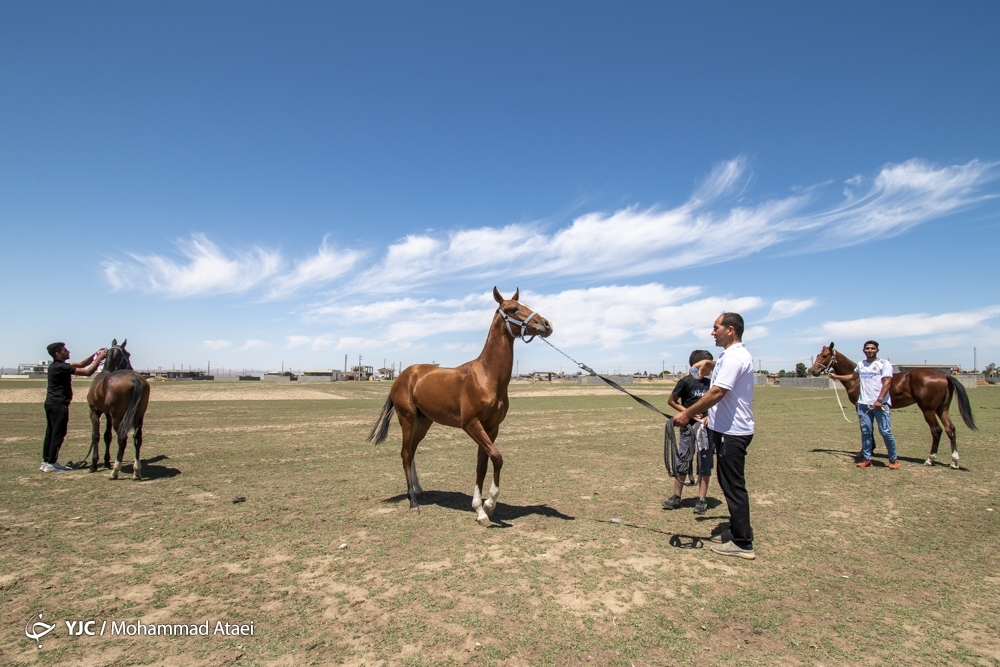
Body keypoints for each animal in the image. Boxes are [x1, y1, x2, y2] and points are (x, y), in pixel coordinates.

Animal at [85, 342, 150, 478]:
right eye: (128, 354)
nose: (131, 366)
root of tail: (134, 378)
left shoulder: (94, 412)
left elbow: (95, 435)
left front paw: (94, 464)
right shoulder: (108, 414)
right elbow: (107, 436)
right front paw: (105, 461)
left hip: (118, 417)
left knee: (122, 438)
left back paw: (115, 471)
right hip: (139, 415)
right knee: (137, 438)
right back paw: (136, 471)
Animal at [368, 290, 556, 524]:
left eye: (525, 305)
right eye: (514, 309)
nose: (546, 324)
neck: (486, 377)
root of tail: (404, 375)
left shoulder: (491, 427)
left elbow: (482, 464)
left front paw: (482, 509)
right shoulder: (471, 424)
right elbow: (497, 457)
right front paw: (488, 504)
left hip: (423, 422)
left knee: (411, 452)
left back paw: (418, 489)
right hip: (407, 419)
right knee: (405, 454)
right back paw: (413, 502)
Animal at [812, 344, 976, 470]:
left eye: (825, 355)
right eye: (818, 355)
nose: (813, 371)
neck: (856, 379)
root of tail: (944, 375)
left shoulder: (861, 407)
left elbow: (865, 429)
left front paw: (864, 451)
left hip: (928, 410)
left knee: (936, 431)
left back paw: (930, 459)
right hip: (942, 409)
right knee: (950, 429)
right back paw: (954, 461)